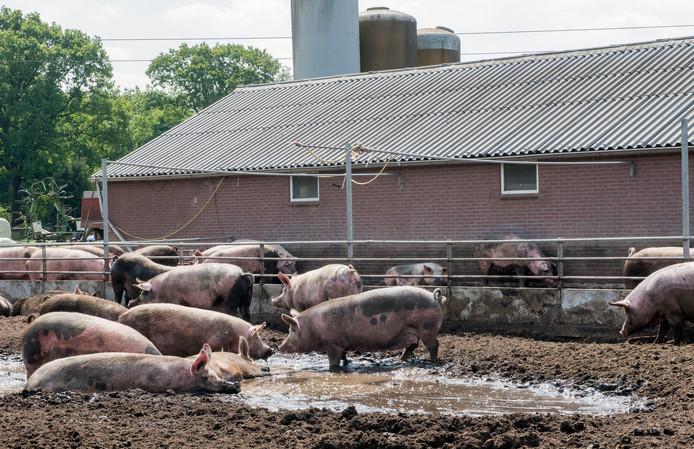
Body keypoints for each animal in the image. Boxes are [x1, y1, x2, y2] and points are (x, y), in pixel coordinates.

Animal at [126, 262, 254, 318]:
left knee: (233, 313)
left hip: (230, 299)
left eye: (144, 293)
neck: (160, 291)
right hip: (247, 298)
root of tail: (241, 274)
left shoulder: (175, 300)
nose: (129, 303)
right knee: (246, 313)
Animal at [278, 286, 446, 366]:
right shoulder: (341, 343)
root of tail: (434, 297)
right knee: (412, 346)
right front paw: (346, 363)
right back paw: (400, 360)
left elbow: (334, 360)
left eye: (292, 330)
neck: (313, 327)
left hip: (427, 328)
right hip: (411, 331)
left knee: (434, 345)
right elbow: (344, 356)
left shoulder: (332, 343)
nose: (279, 347)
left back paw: (433, 361)